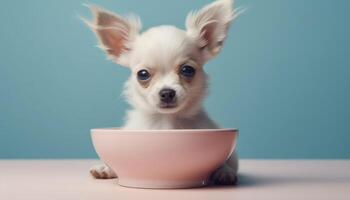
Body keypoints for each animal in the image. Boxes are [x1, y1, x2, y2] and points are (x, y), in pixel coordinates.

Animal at [83, 0, 241, 184]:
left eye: (187, 70)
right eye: (143, 74)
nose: (167, 92)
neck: (165, 122)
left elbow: (224, 160)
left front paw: (224, 171)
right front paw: (105, 167)